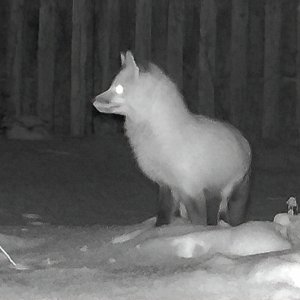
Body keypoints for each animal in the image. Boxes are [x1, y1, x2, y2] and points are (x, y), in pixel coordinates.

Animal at [92, 50, 251, 226]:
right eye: (111, 86)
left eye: (119, 88)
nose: (93, 101)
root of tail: (244, 142)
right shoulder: (167, 185)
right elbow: (162, 217)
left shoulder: (192, 190)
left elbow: (198, 224)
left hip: (218, 194)